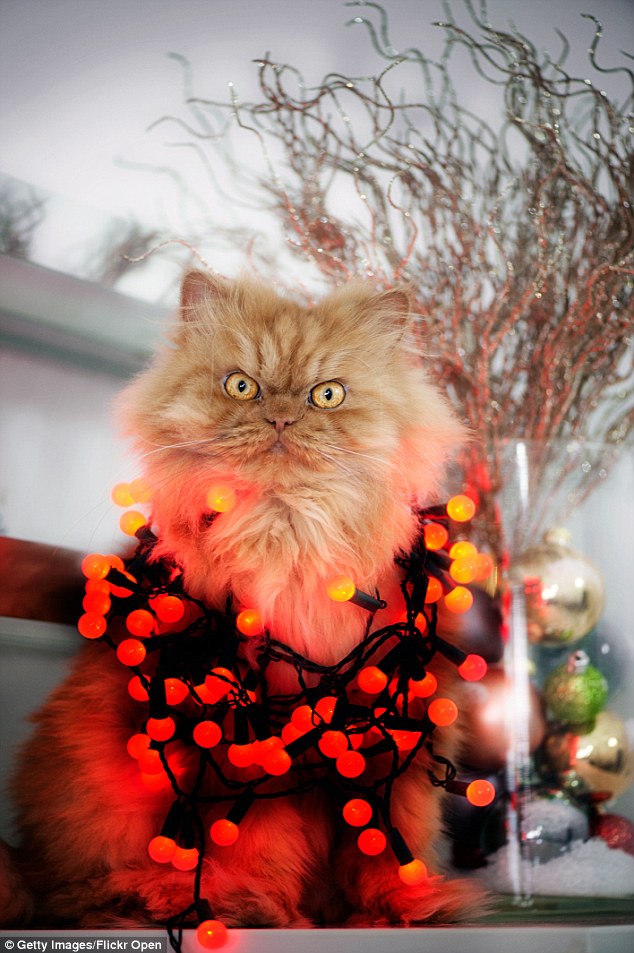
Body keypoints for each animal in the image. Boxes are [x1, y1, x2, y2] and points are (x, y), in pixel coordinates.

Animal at [4, 272, 484, 924]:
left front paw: (404, 907)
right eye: (242, 386)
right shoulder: (246, 743)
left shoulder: (395, 732)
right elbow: (259, 844)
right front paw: (261, 906)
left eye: (327, 395)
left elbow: (390, 838)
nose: (281, 419)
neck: (287, 535)